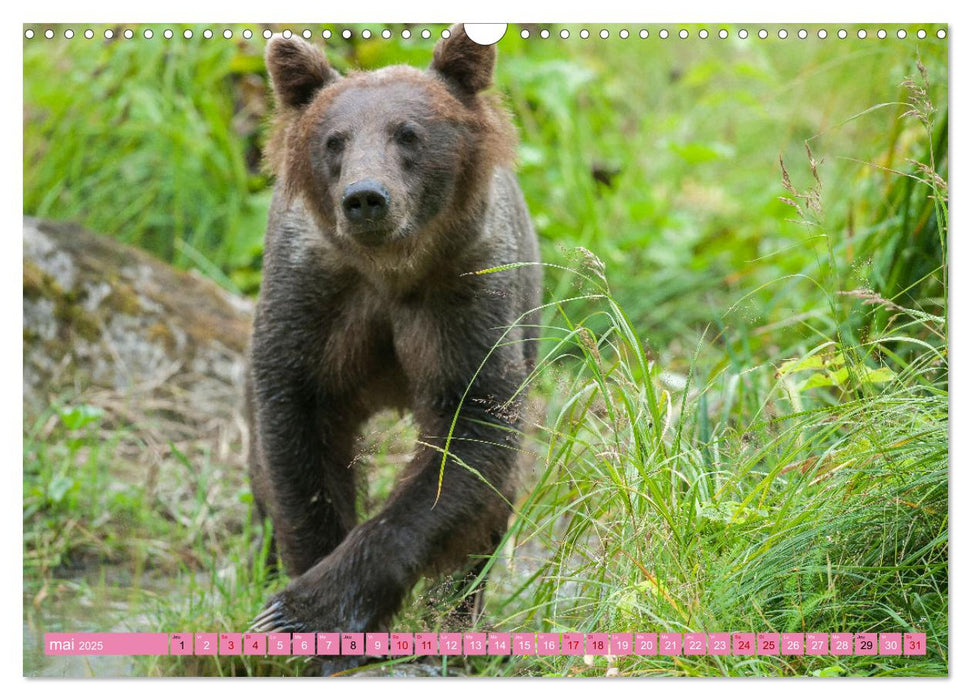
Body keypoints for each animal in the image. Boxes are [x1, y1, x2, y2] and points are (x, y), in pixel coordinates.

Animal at [247, 24, 544, 664]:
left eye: (408, 133)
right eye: (334, 140)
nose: (365, 197)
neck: (390, 270)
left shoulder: (462, 300)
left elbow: (468, 441)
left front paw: (310, 612)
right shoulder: (312, 305)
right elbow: (298, 445)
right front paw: (296, 603)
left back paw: (457, 624)